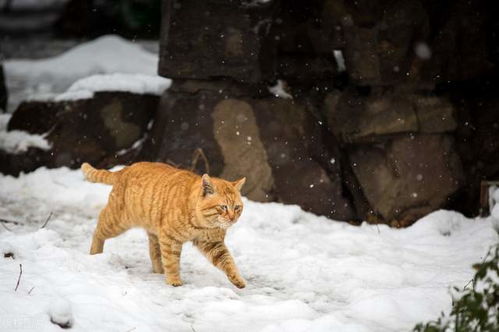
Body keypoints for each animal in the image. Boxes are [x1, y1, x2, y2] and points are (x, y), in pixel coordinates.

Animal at [80, 161, 248, 288]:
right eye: (223, 207)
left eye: (237, 208)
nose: (232, 218)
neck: (202, 224)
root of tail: (127, 168)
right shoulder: (170, 239)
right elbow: (172, 262)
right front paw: (174, 280)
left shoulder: (213, 244)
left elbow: (228, 262)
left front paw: (237, 279)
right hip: (117, 222)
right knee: (98, 228)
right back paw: (95, 253)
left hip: (153, 231)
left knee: (154, 253)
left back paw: (159, 270)